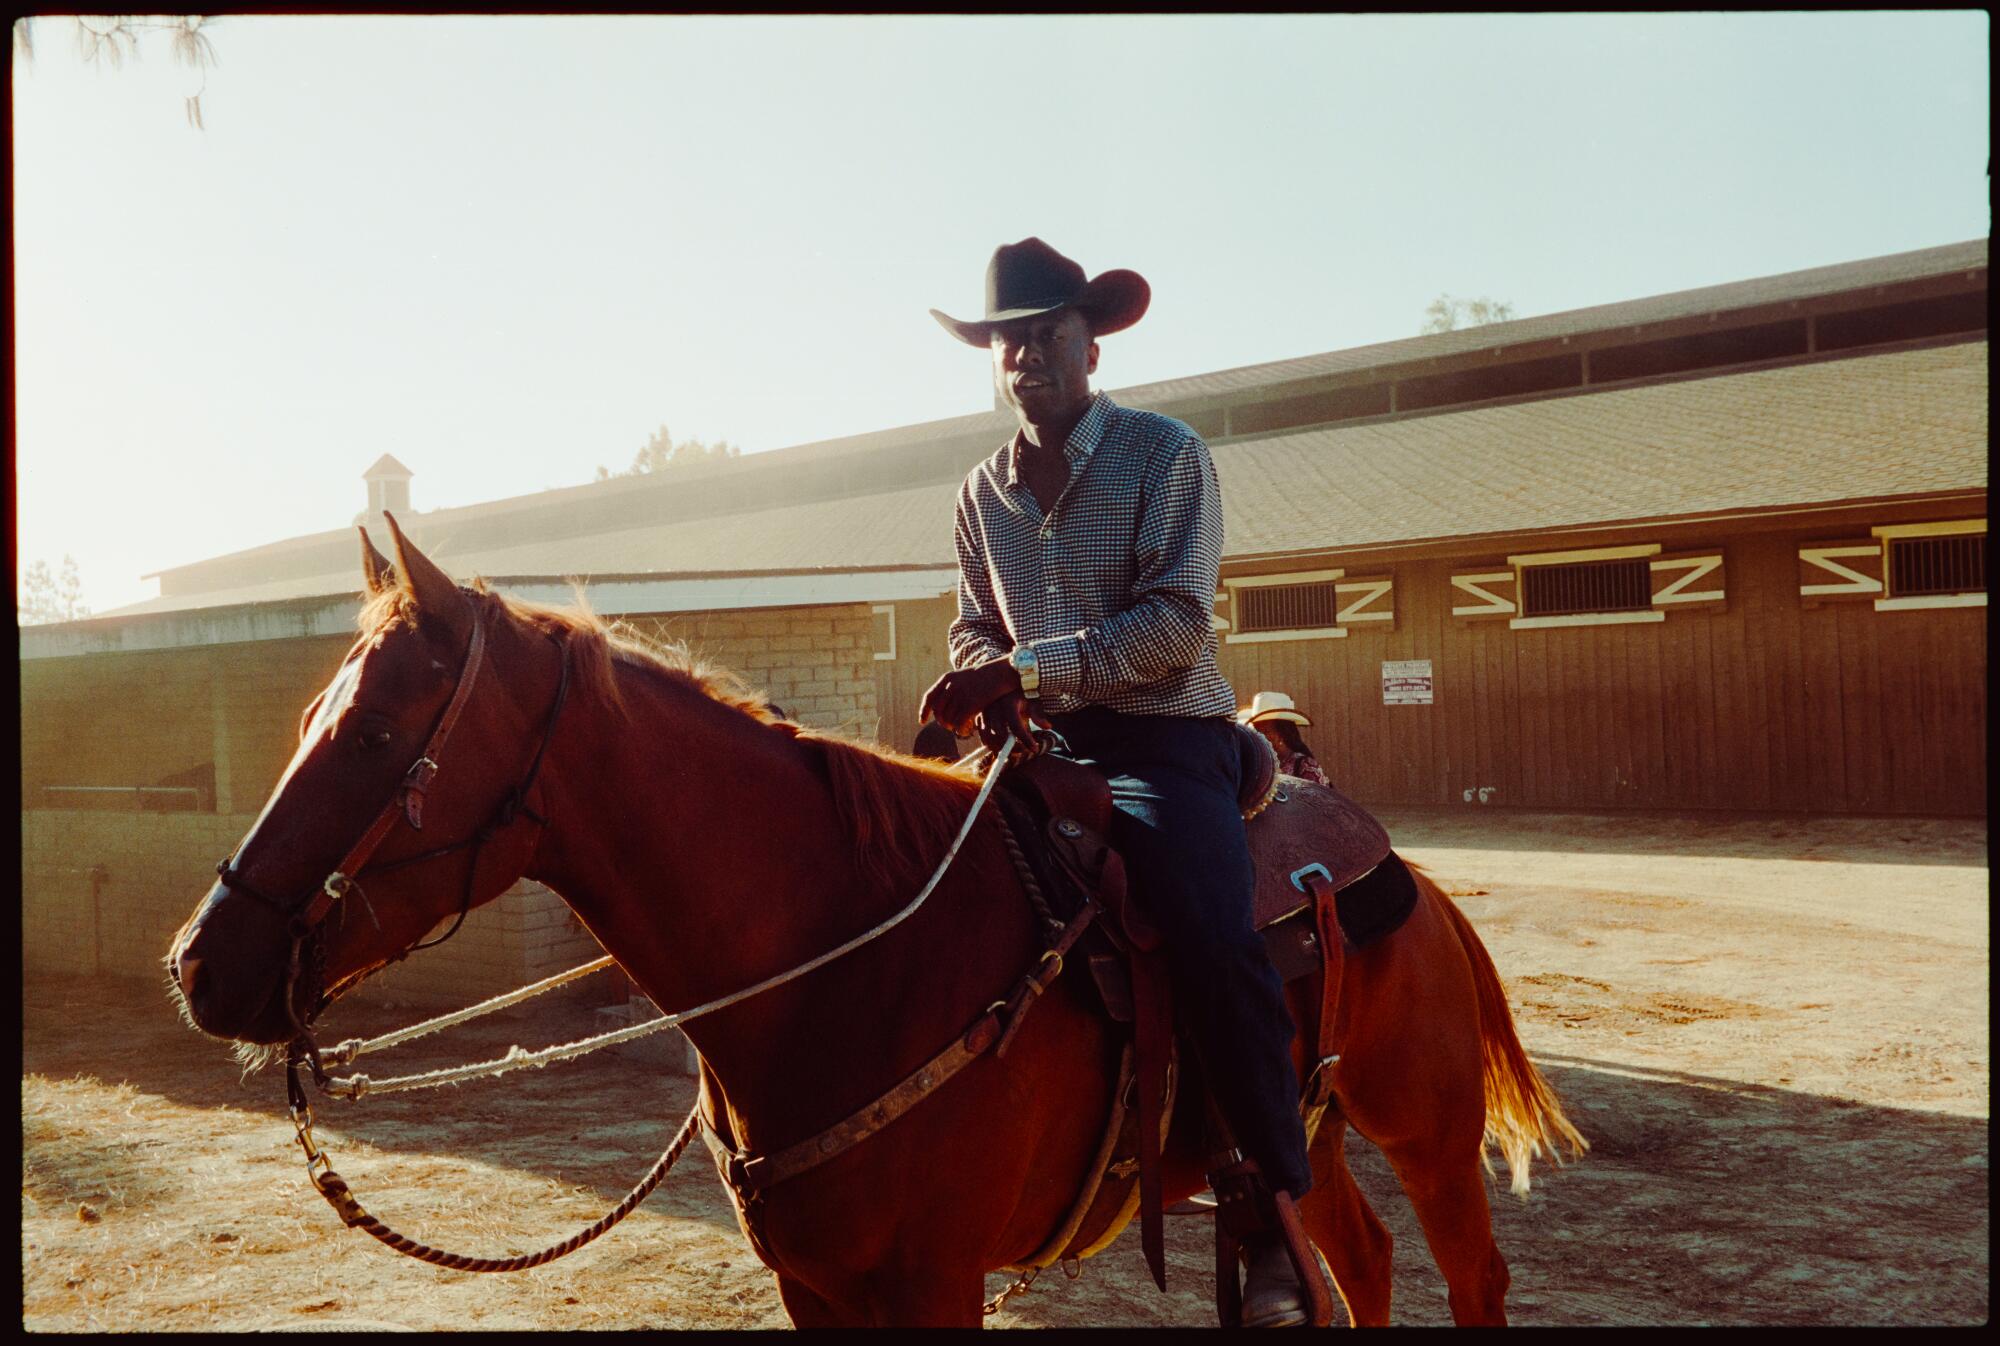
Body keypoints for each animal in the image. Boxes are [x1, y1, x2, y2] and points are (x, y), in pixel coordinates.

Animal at [168, 520, 1576, 1328]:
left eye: (374, 732)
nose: (200, 963)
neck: (841, 956)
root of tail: (1394, 863)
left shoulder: (933, 1285)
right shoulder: (816, 1286)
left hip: (1424, 1131)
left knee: (1468, 1276)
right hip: (1314, 1132)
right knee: (1365, 1263)